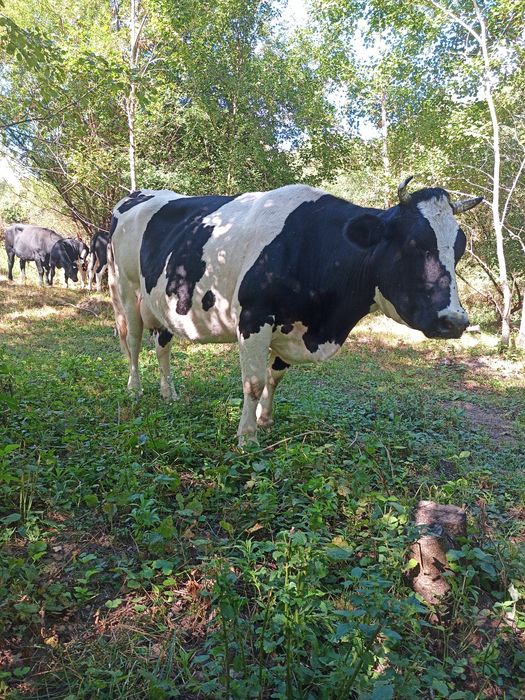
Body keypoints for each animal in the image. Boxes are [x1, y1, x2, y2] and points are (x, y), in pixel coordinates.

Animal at [107, 178, 482, 446]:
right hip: (124, 289)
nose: (454, 321)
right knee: (134, 341)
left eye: (459, 248)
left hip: (160, 301)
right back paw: (135, 389)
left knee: (162, 345)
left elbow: (275, 377)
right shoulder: (254, 318)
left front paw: (265, 421)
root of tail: (137, 194)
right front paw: (246, 438)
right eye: (413, 244)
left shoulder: (290, 328)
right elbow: (254, 382)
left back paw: (169, 394)